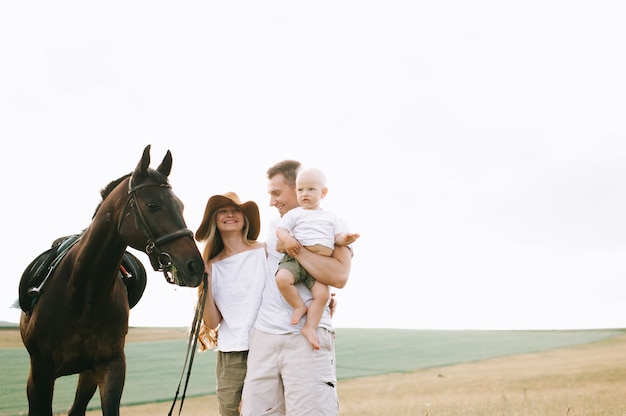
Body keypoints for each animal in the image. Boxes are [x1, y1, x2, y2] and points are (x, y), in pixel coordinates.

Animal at [18, 146, 202, 416]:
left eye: (180, 206)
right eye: (153, 205)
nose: (195, 266)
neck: (84, 291)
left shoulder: (111, 366)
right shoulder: (41, 372)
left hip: (87, 374)